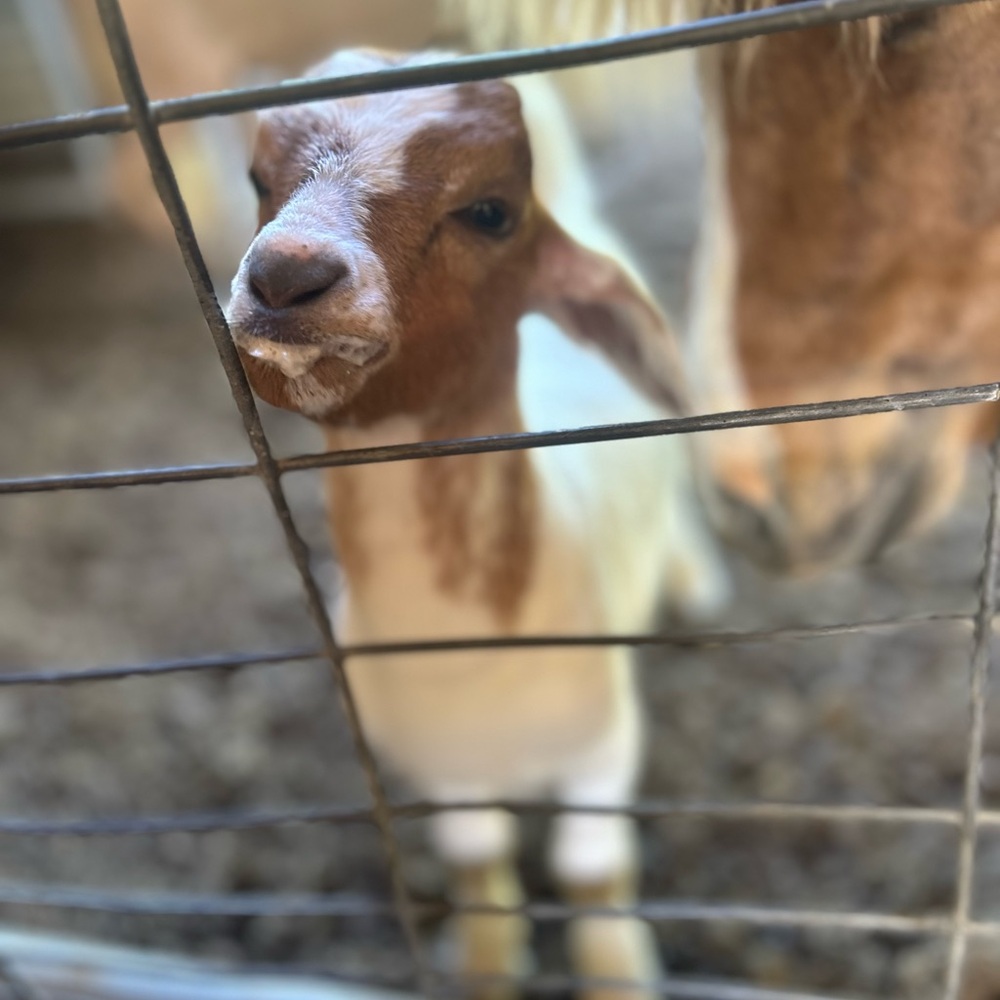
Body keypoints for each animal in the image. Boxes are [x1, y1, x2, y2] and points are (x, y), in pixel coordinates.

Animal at [226, 48, 727, 999]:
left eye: (490, 211)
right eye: (257, 180)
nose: (285, 273)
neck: (467, 661)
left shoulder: (605, 743)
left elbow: (588, 867)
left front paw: (615, 973)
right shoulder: (441, 762)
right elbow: (475, 855)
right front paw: (488, 963)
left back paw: (695, 584)